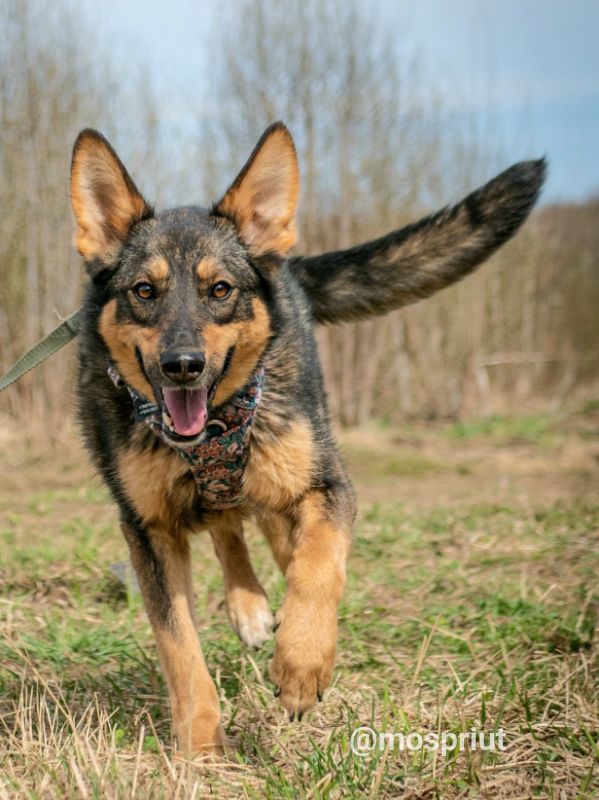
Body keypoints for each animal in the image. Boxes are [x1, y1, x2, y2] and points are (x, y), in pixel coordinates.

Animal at [69, 125, 544, 756]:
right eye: (144, 291)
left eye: (220, 289)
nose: (182, 366)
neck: (213, 434)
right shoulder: (147, 530)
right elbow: (180, 647)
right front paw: (201, 749)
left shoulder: (327, 488)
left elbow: (318, 566)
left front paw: (302, 663)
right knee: (226, 526)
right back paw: (248, 605)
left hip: (283, 488)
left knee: (274, 541)